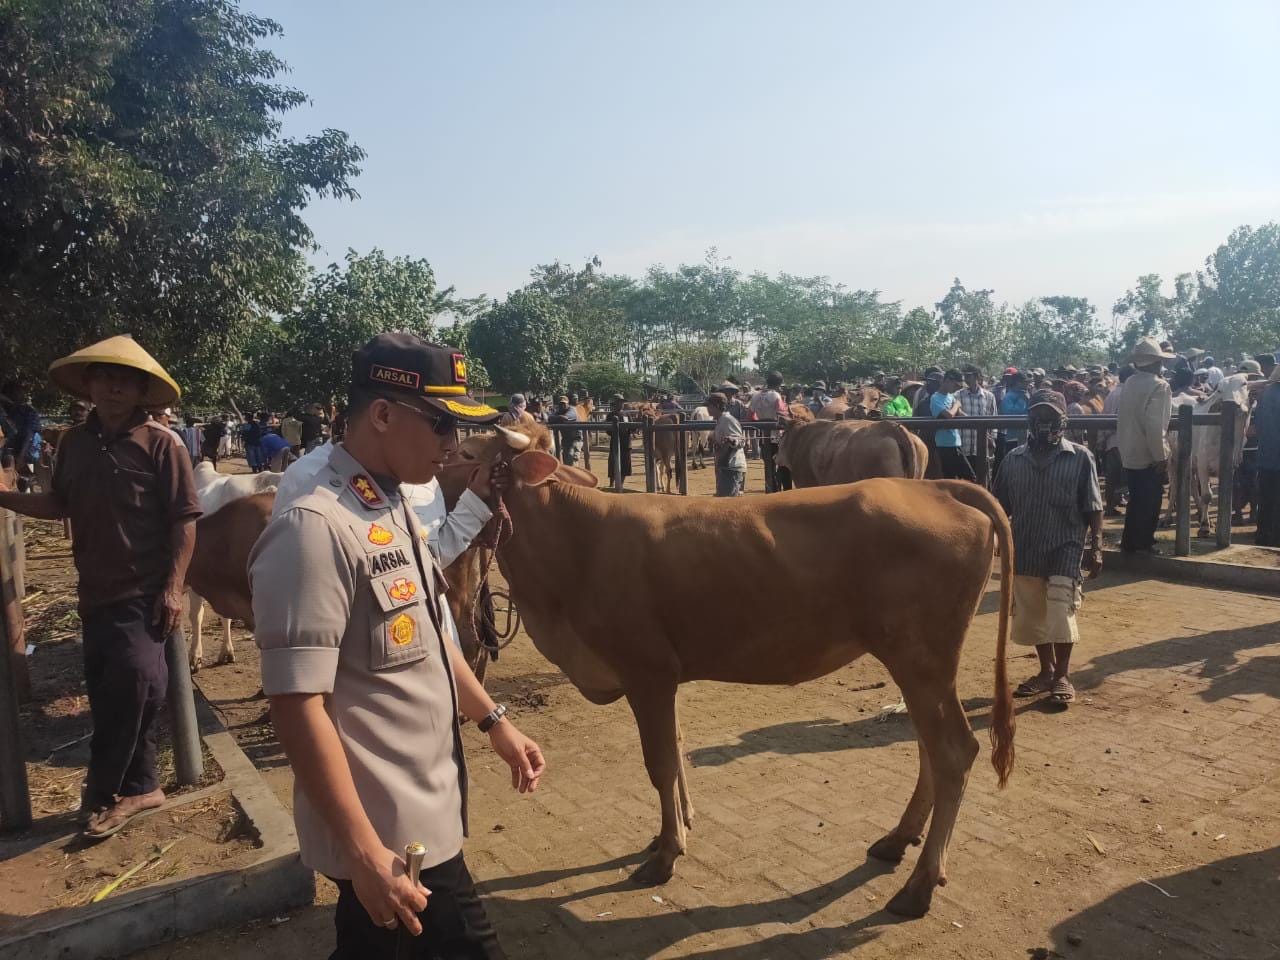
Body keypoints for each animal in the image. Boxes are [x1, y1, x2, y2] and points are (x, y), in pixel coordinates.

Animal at [458, 432, 1008, 921]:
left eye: (465, 454)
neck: (575, 547)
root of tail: (937, 488)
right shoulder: (664, 678)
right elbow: (677, 749)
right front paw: (673, 831)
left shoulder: (647, 672)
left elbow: (660, 763)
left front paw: (665, 854)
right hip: (919, 667)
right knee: (930, 749)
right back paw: (898, 840)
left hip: (922, 660)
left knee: (954, 752)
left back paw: (919, 885)